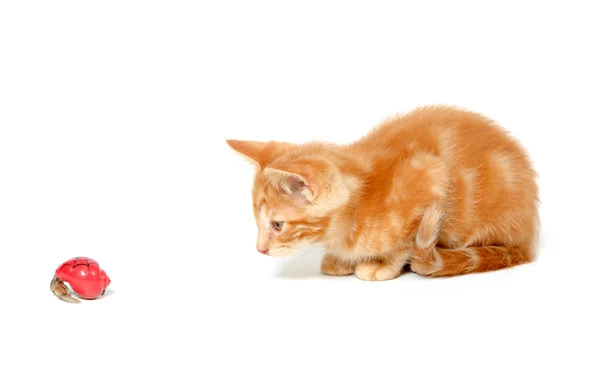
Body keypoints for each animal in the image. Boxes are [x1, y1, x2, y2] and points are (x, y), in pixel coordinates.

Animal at [225, 104, 540, 280]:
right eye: (257, 222)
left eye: (277, 225)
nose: (259, 249)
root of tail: (527, 236)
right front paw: (341, 260)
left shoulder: (433, 175)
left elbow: (405, 241)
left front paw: (382, 265)